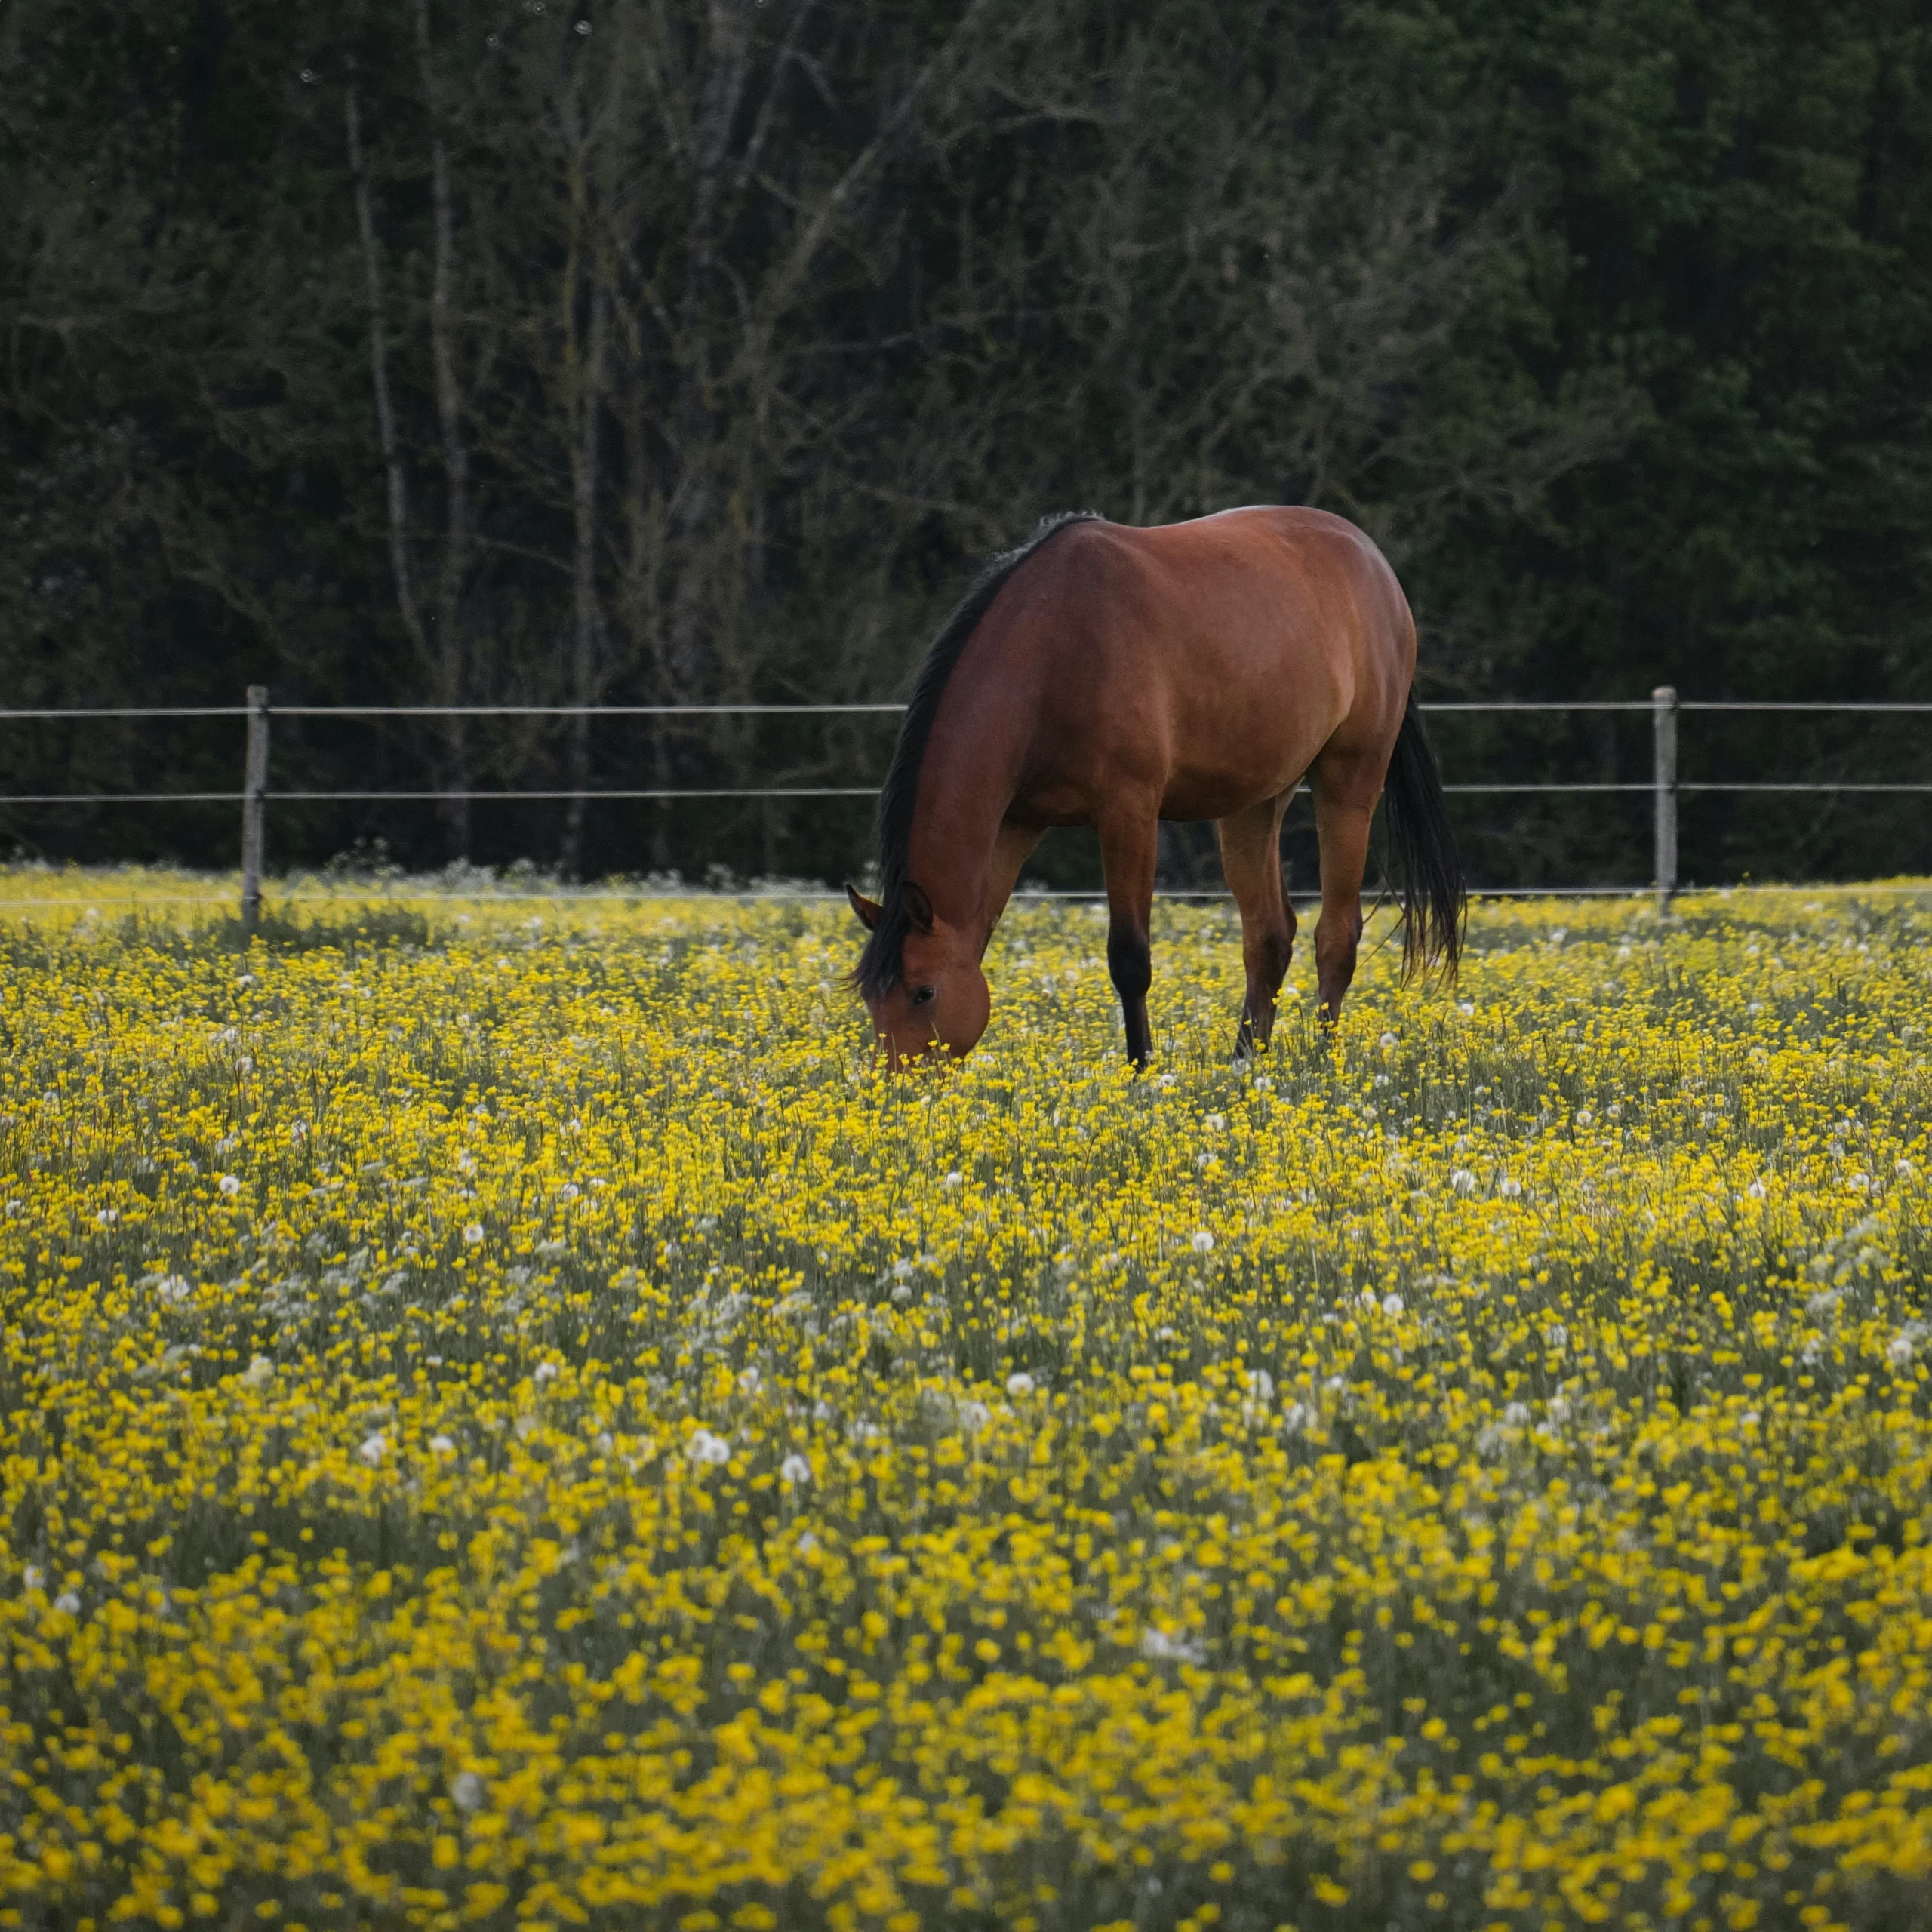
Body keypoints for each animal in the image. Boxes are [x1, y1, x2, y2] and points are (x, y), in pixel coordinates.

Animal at [846, 506, 1460, 1066]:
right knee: (1269, 936)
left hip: (1348, 782)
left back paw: (1322, 1063)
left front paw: (1141, 1069)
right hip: (1256, 801)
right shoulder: (1017, 824)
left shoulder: (1129, 813)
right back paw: (1246, 1065)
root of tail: (1374, 564)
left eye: (923, 993)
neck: (1053, 650)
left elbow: (1130, 958)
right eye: (872, 999)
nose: (894, 1091)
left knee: (1336, 935)